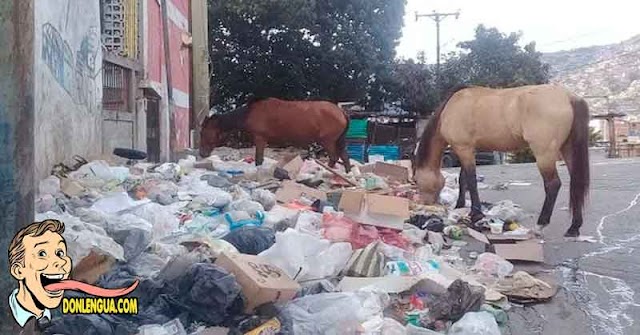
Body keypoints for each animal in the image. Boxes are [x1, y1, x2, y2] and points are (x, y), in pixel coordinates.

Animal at [200, 96, 352, 172]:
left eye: (203, 133)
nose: (202, 154)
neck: (249, 113)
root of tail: (341, 112)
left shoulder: (260, 138)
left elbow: (258, 159)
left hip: (328, 141)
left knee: (333, 158)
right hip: (338, 140)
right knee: (344, 157)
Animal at [416, 85, 592, 238]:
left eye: (416, 180)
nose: (426, 204)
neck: (451, 108)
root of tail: (569, 97)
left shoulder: (463, 149)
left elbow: (471, 181)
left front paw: (476, 214)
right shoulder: (469, 150)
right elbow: (463, 179)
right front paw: (460, 206)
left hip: (544, 153)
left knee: (553, 184)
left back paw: (540, 224)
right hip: (568, 149)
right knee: (576, 182)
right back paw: (574, 227)